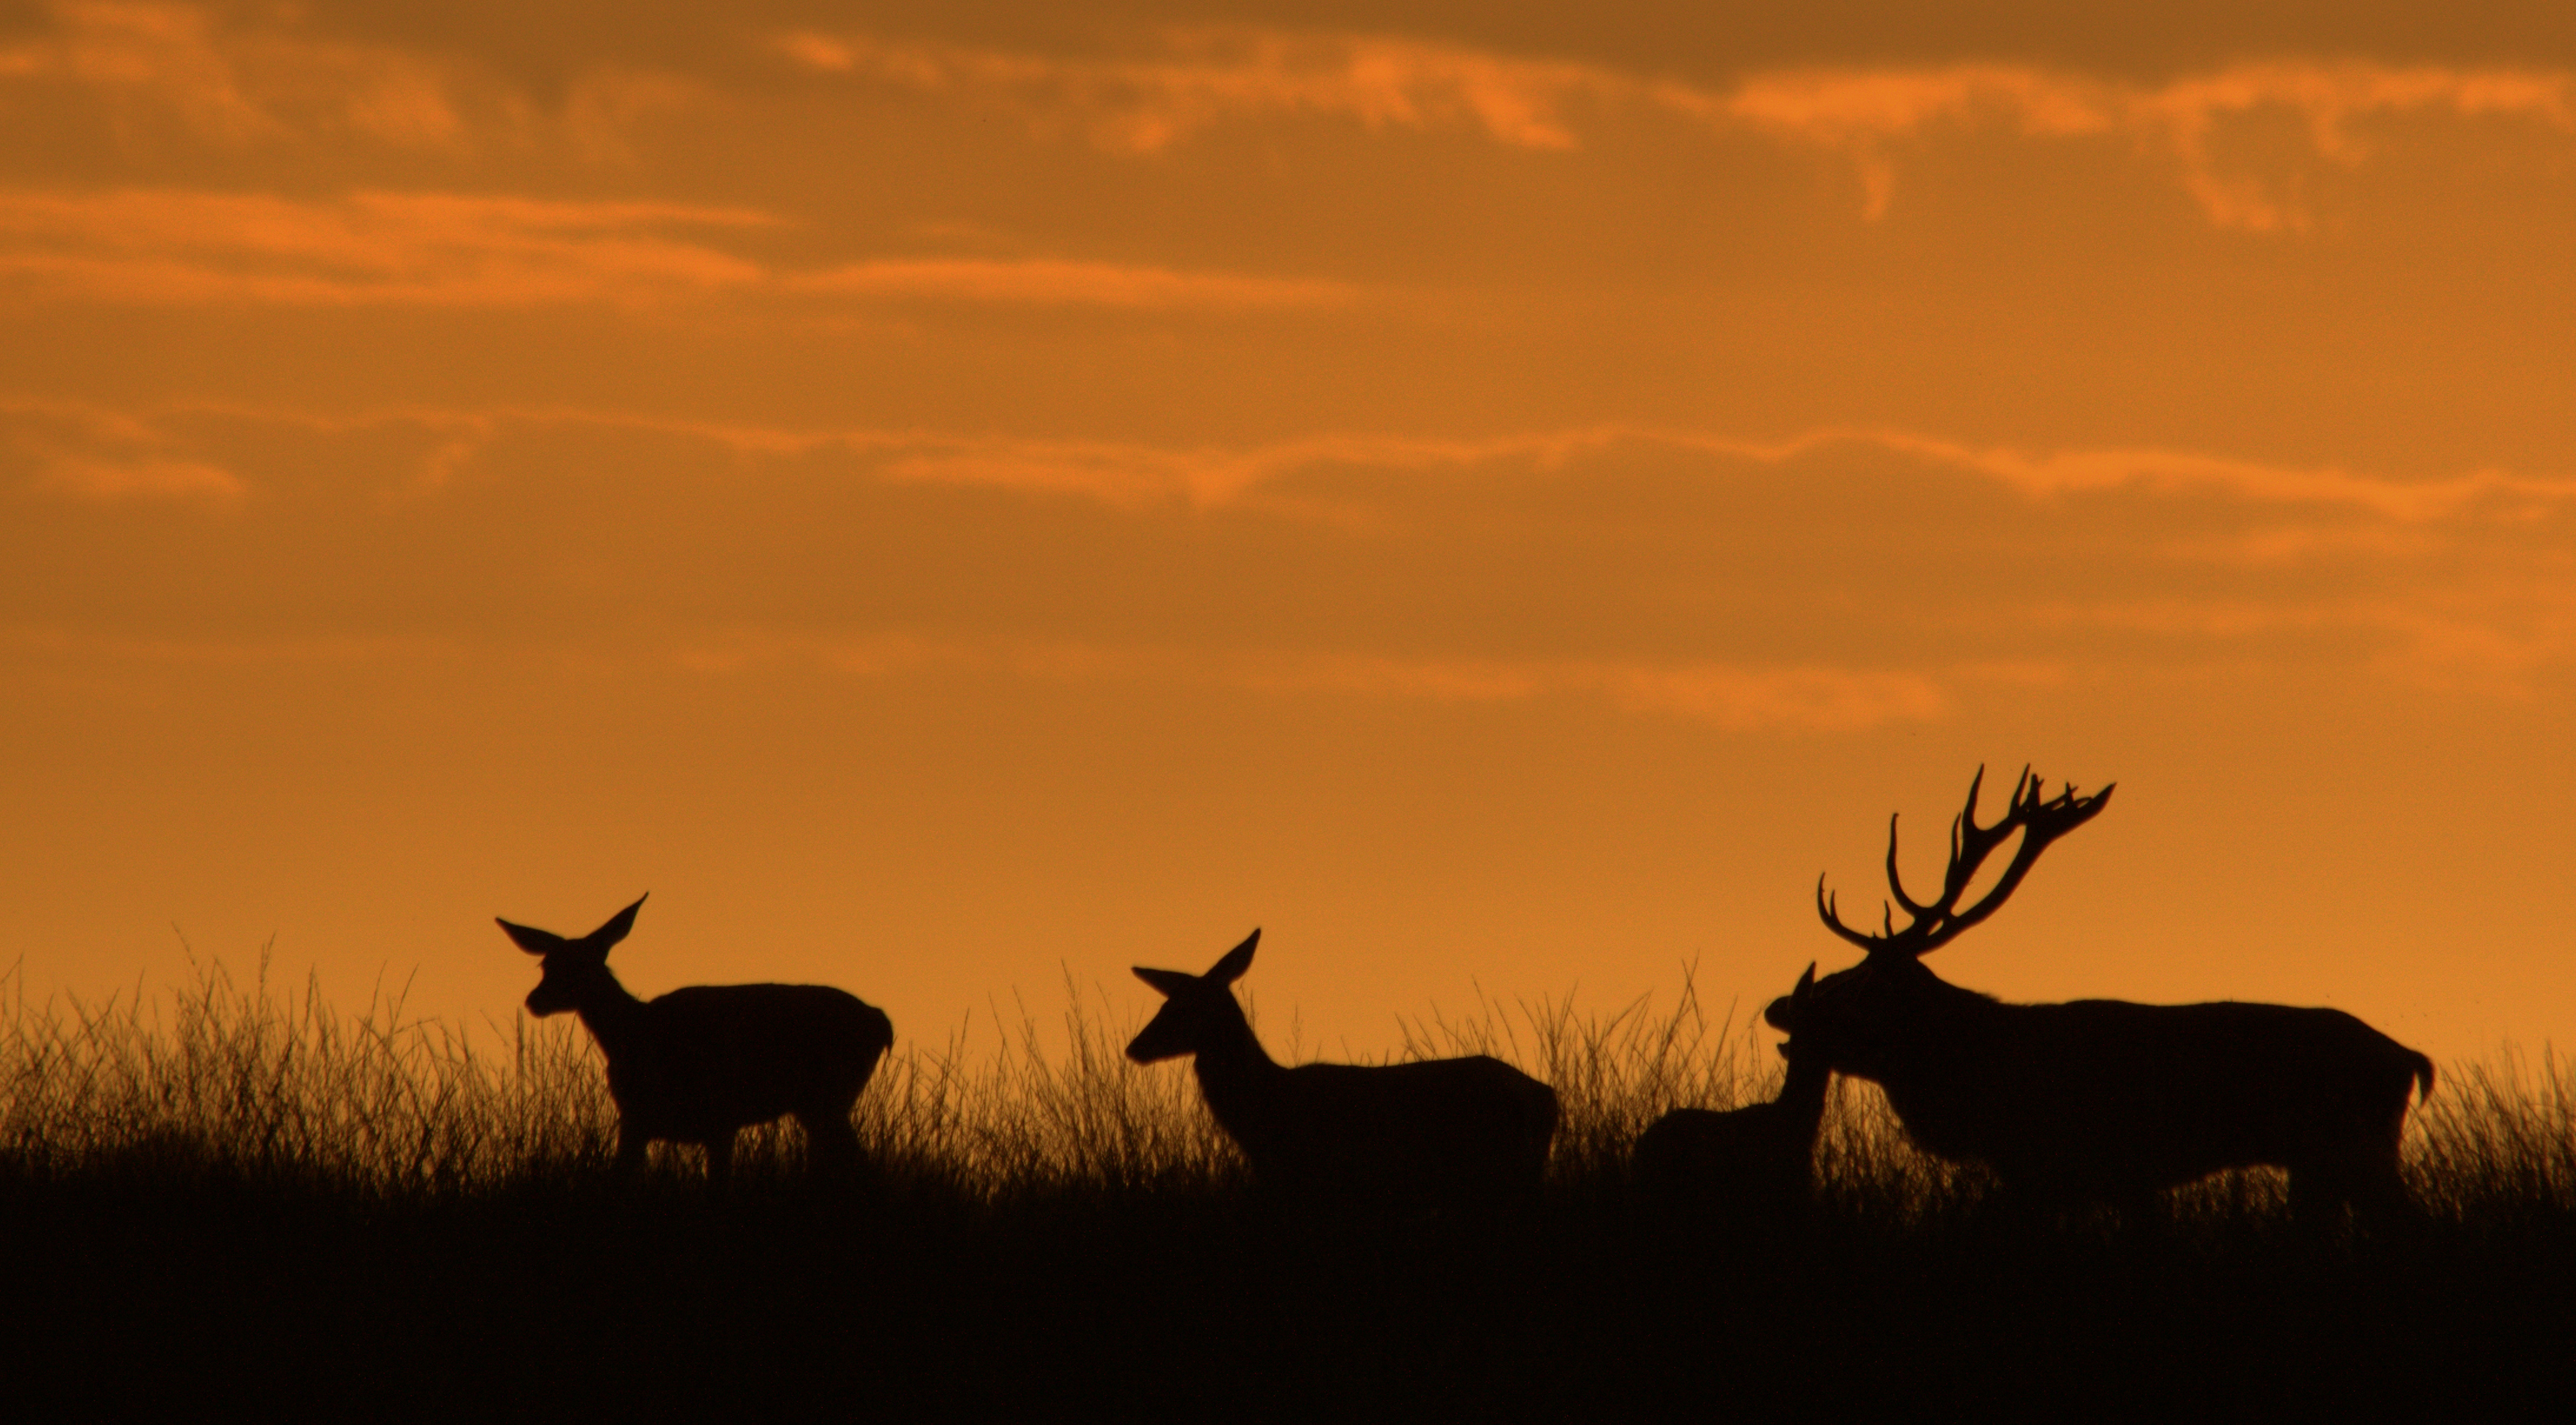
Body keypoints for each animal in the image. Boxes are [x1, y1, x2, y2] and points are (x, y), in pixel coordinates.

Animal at [499, 896, 896, 1185]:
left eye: (581, 966)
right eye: (546, 965)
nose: (535, 1001)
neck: (631, 1032)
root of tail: (882, 1022)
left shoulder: (703, 1117)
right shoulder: (658, 1121)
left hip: (827, 1098)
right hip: (822, 1104)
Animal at [1793, 763, 2432, 1216]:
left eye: (1857, 986)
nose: (1785, 1006)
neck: (1988, 1082)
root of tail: (2410, 1059)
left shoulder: (2071, 1166)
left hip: (2351, 1148)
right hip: (2320, 1164)